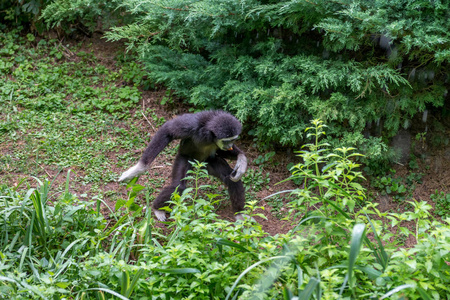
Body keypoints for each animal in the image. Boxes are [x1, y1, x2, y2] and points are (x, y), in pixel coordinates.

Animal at [118, 109, 248, 220]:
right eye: (226, 141)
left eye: (233, 140)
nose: (229, 145)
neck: (210, 136)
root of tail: (199, 164)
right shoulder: (192, 126)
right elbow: (167, 131)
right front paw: (138, 169)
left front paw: (242, 160)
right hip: (185, 159)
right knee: (178, 186)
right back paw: (157, 208)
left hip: (209, 162)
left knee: (231, 179)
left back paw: (239, 214)